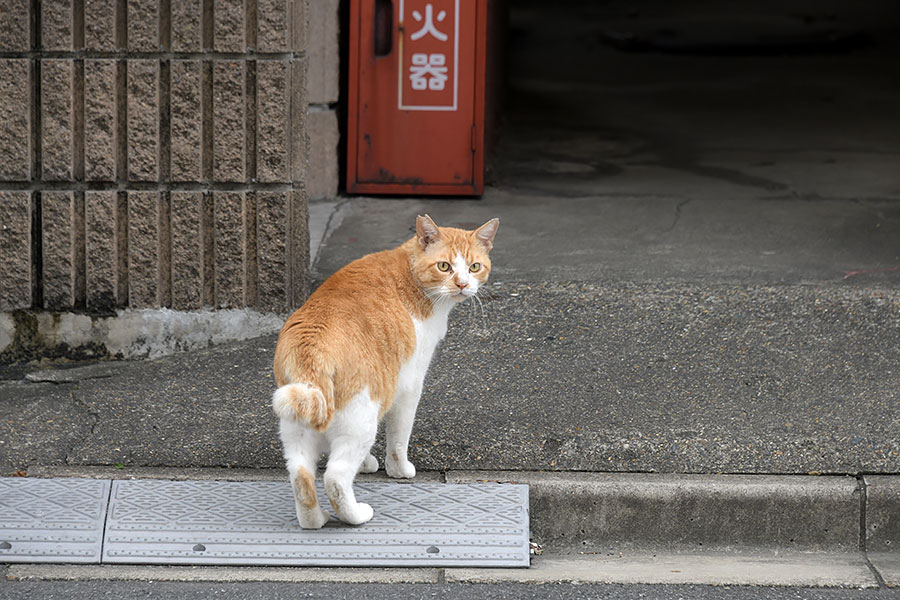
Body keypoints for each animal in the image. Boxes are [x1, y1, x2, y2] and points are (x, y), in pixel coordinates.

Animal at [272, 213, 500, 528]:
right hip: (362, 419)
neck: (412, 274)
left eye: (474, 267)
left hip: (296, 424)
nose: (463, 284)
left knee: (302, 477)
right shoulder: (408, 387)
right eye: (444, 266)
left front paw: (367, 464)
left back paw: (314, 520)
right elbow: (399, 438)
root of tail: (312, 347)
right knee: (335, 478)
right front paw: (399, 469)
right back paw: (357, 516)